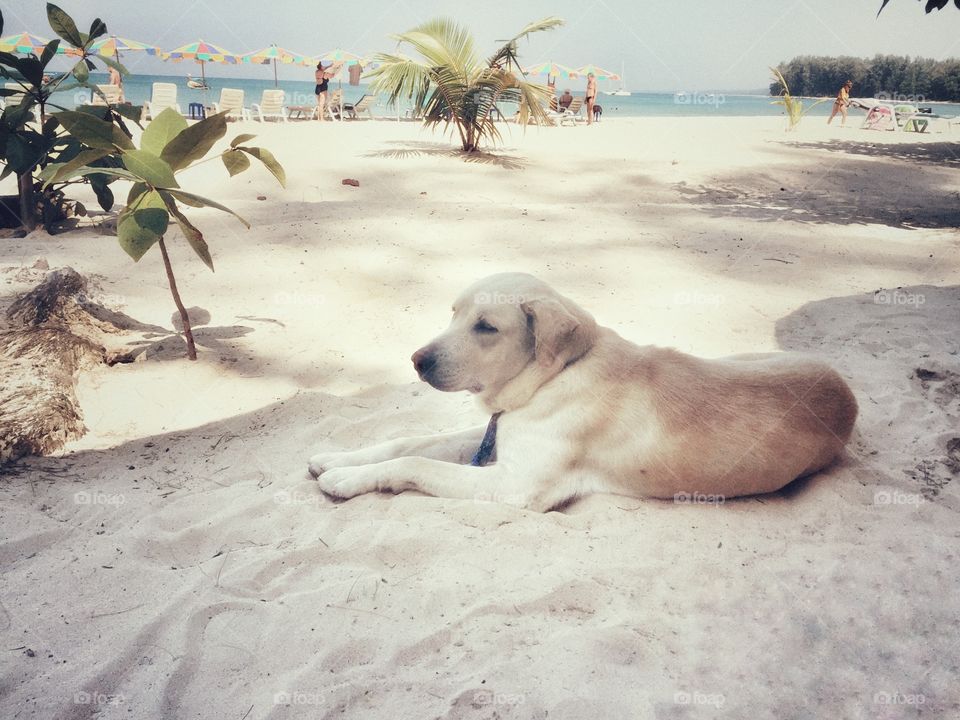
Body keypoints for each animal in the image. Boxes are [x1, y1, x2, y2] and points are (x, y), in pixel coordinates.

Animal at [312, 272, 860, 512]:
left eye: (486, 327)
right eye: (453, 313)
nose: (417, 360)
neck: (555, 376)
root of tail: (848, 393)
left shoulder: (512, 485)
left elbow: (417, 464)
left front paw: (344, 479)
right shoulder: (499, 435)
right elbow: (410, 443)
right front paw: (339, 458)